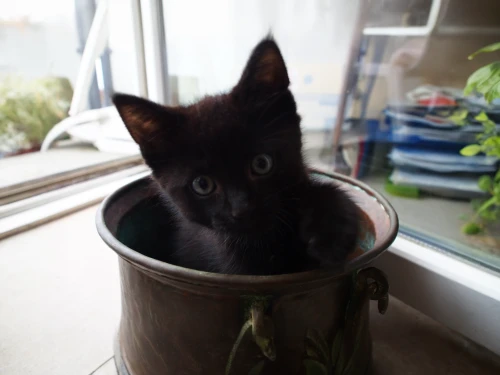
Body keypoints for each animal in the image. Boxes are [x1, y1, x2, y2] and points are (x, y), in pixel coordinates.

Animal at [113, 36, 360, 276]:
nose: (242, 208)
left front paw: (329, 234)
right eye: (202, 184)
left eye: (261, 163)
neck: (265, 242)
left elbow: (329, 191)